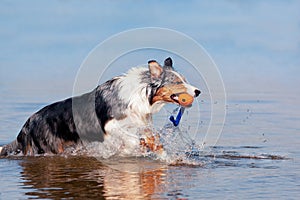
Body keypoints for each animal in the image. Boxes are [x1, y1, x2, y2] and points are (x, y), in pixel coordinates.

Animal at [0, 57, 202, 157]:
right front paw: (128, 150)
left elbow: (156, 144)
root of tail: (27, 124)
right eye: (177, 82)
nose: (198, 91)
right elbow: (131, 141)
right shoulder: (109, 125)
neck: (140, 94)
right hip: (49, 149)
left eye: (184, 80)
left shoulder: (143, 124)